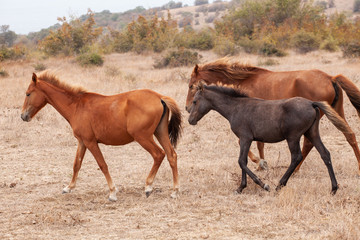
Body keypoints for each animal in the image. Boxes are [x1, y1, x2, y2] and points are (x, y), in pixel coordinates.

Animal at [21, 72, 181, 202]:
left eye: (28, 93)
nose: (23, 116)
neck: (76, 106)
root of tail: (159, 97)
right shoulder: (82, 142)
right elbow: (76, 164)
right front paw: (68, 187)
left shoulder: (91, 142)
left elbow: (102, 165)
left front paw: (112, 193)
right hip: (160, 133)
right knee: (171, 155)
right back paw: (174, 191)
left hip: (143, 137)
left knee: (158, 154)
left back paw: (148, 187)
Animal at [184, 58, 360, 174]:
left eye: (192, 86)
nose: (187, 108)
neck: (244, 81)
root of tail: (331, 78)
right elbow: (259, 143)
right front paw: (261, 163)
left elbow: (248, 143)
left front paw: (260, 163)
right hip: (336, 112)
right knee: (349, 135)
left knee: (308, 144)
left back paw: (294, 170)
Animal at [188, 83, 352, 194]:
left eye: (195, 101)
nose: (190, 120)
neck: (236, 108)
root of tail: (312, 103)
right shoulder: (245, 140)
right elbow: (243, 161)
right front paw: (240, 188)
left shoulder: (245, 138)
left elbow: (241, 161)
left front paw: (263, 185)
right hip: (312, 133)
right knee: (325, 154)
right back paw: (334, 188)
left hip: (293, 137)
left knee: (296, 157)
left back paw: (279, 185)